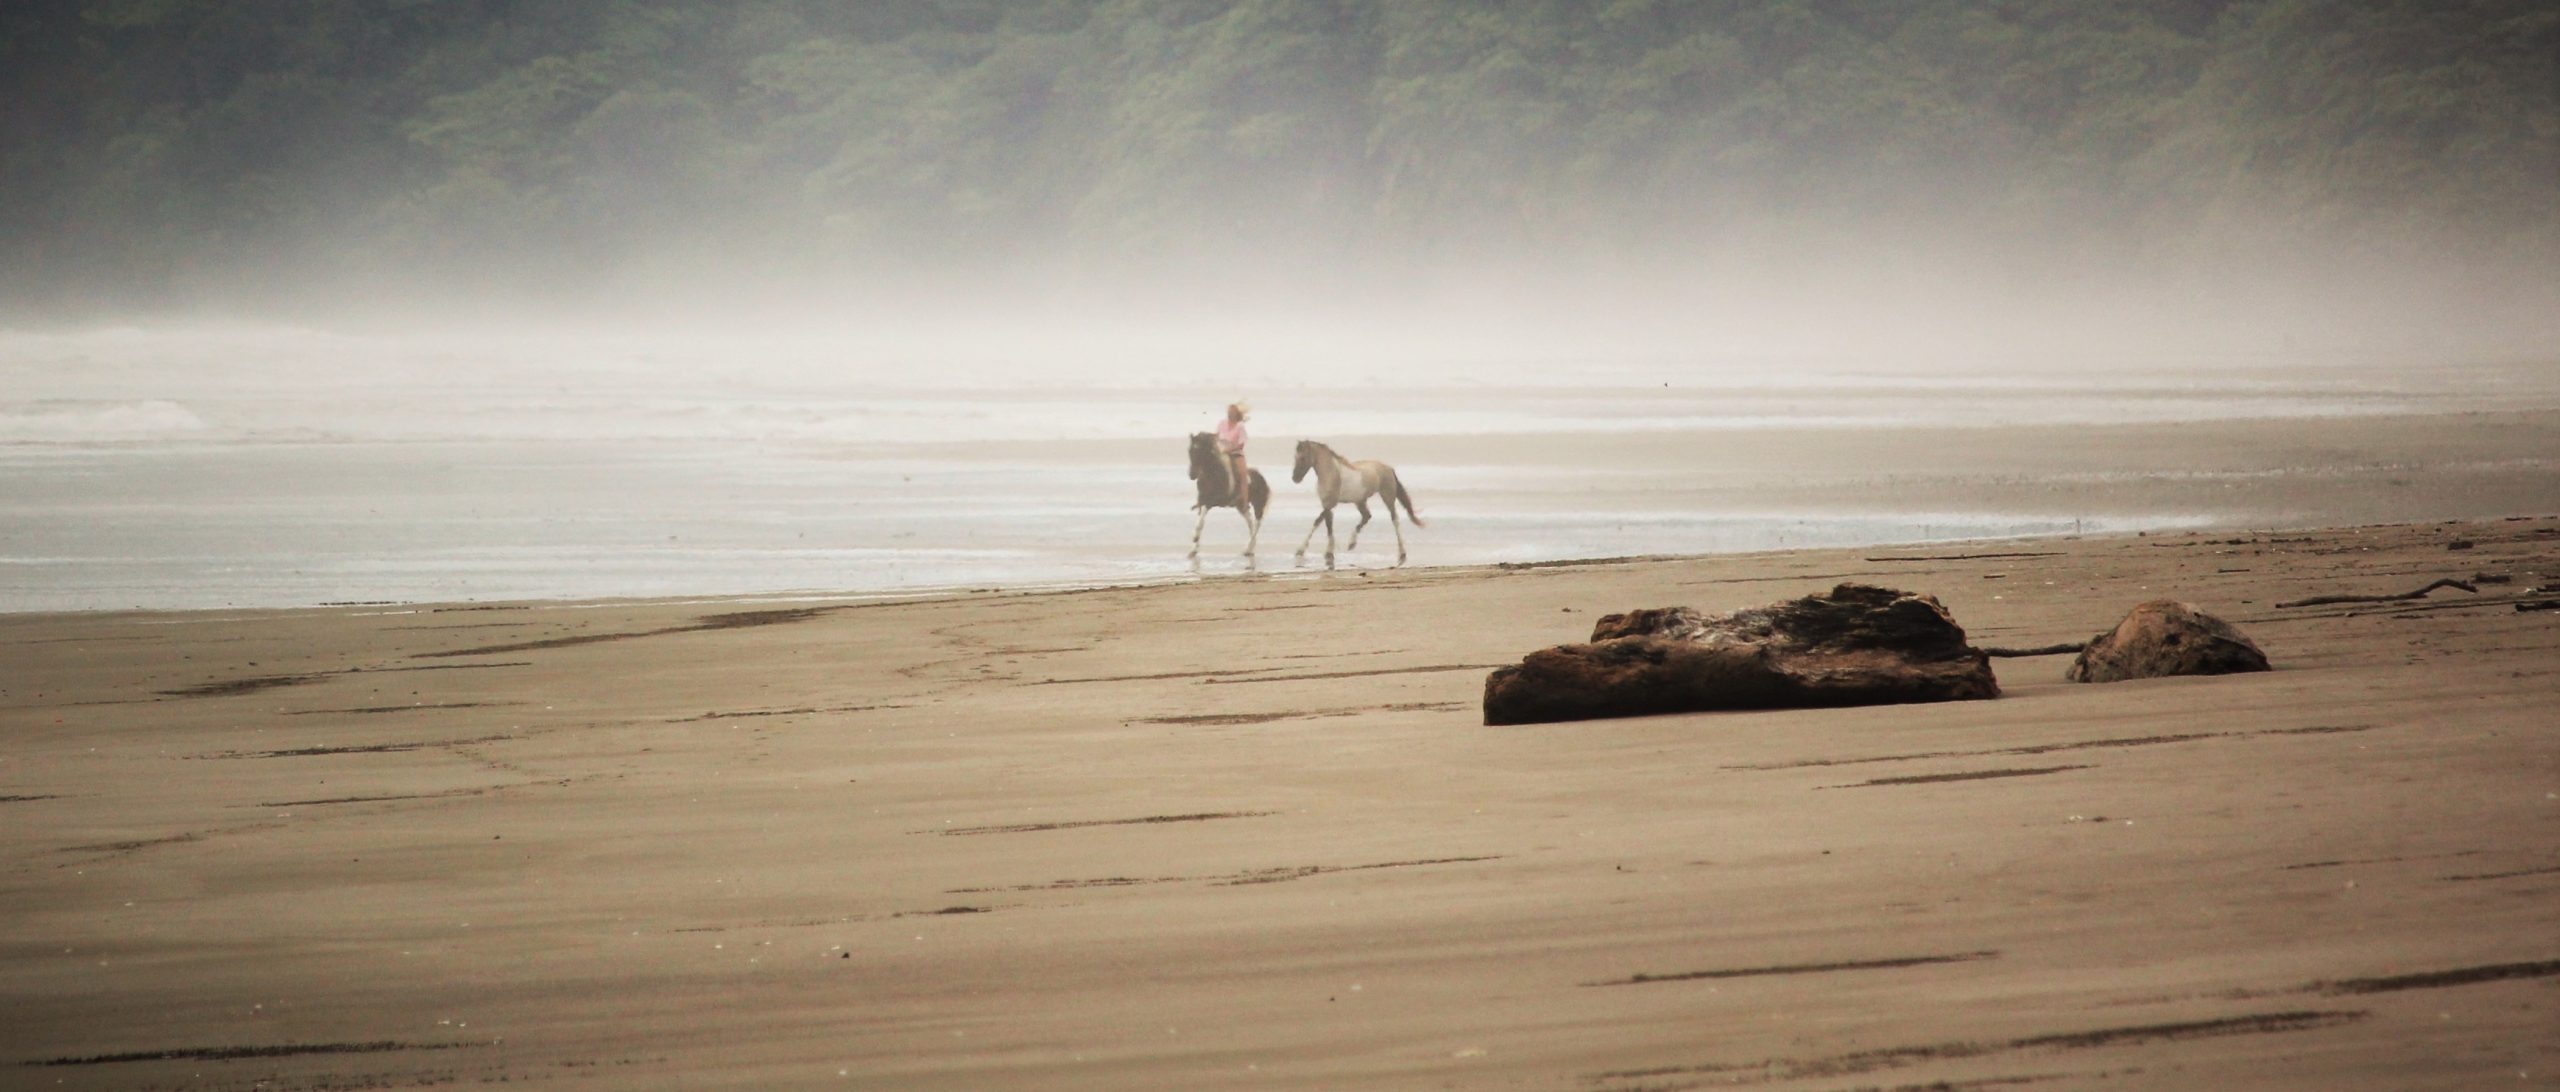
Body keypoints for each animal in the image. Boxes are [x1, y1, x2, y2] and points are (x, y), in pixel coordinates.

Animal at [1187, 432, 1269, 560]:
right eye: (1190, 451)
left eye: (1200, 452)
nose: (1192, 474)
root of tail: (1261, 477)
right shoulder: (1202, 501)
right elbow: (1199, 523)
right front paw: (1194, 549)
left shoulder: (1212, 501)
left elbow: (1202, 519)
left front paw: (1195, 542)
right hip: (1241, 506)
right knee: (1250, 522)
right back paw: (1250, 548)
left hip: (1258, 505)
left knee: (1257, 523)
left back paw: (1248, 549)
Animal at [1300, 439, 1423, 567]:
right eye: (1296, 457)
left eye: (1302, 458)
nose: (1295, 478)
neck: (1330, 472)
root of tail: (1389, 468)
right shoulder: (1327, 504)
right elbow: (1325, 523)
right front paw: (1326, 553)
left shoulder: (1330, 504)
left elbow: (1318, 521)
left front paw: (1303, 551)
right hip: (1360, 501)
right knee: (1367, 516)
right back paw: (1351, 544)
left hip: (1387, 496)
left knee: (1394, 519)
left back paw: (1402, 555)